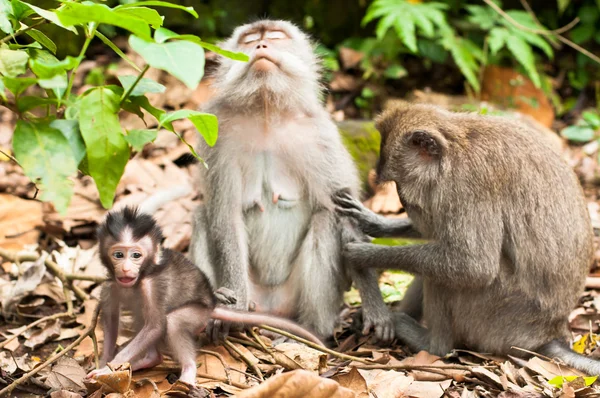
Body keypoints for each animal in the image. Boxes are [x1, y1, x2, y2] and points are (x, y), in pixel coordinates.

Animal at [85, 207, 324, 384]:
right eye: (118, 254)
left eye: (136, 255)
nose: (125, 269)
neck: (140, 277)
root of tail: (211, 304)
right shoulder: (110, 287)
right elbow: (111, 320)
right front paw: (105, 362)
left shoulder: (152, 286)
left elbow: (155, 326)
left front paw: (108, 369)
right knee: (141, 315)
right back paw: (148, 360)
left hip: (198, 313)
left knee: (172, 322)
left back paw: (185, 370)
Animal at [189, 19, 394, 342]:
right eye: (250, 40)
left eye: (274, 37)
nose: (261, 46)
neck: (265, 110)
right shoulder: (217, 135)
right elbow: (226, 216)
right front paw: (233, 308)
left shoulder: (321, 135)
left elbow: (344, 213)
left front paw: (376, 308)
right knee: (201, 215)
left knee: (326, 219)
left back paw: (312, 330)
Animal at [336, 104, 600, 374]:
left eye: (399, 183)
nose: (404, 202)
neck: (455, 147)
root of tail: (549, 332)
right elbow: (435, 232)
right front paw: (375, 223)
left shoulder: (466, 186)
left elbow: (473, 267)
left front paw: (363, 255)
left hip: (497, 316)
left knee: (448, 279)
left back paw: (427, 342)